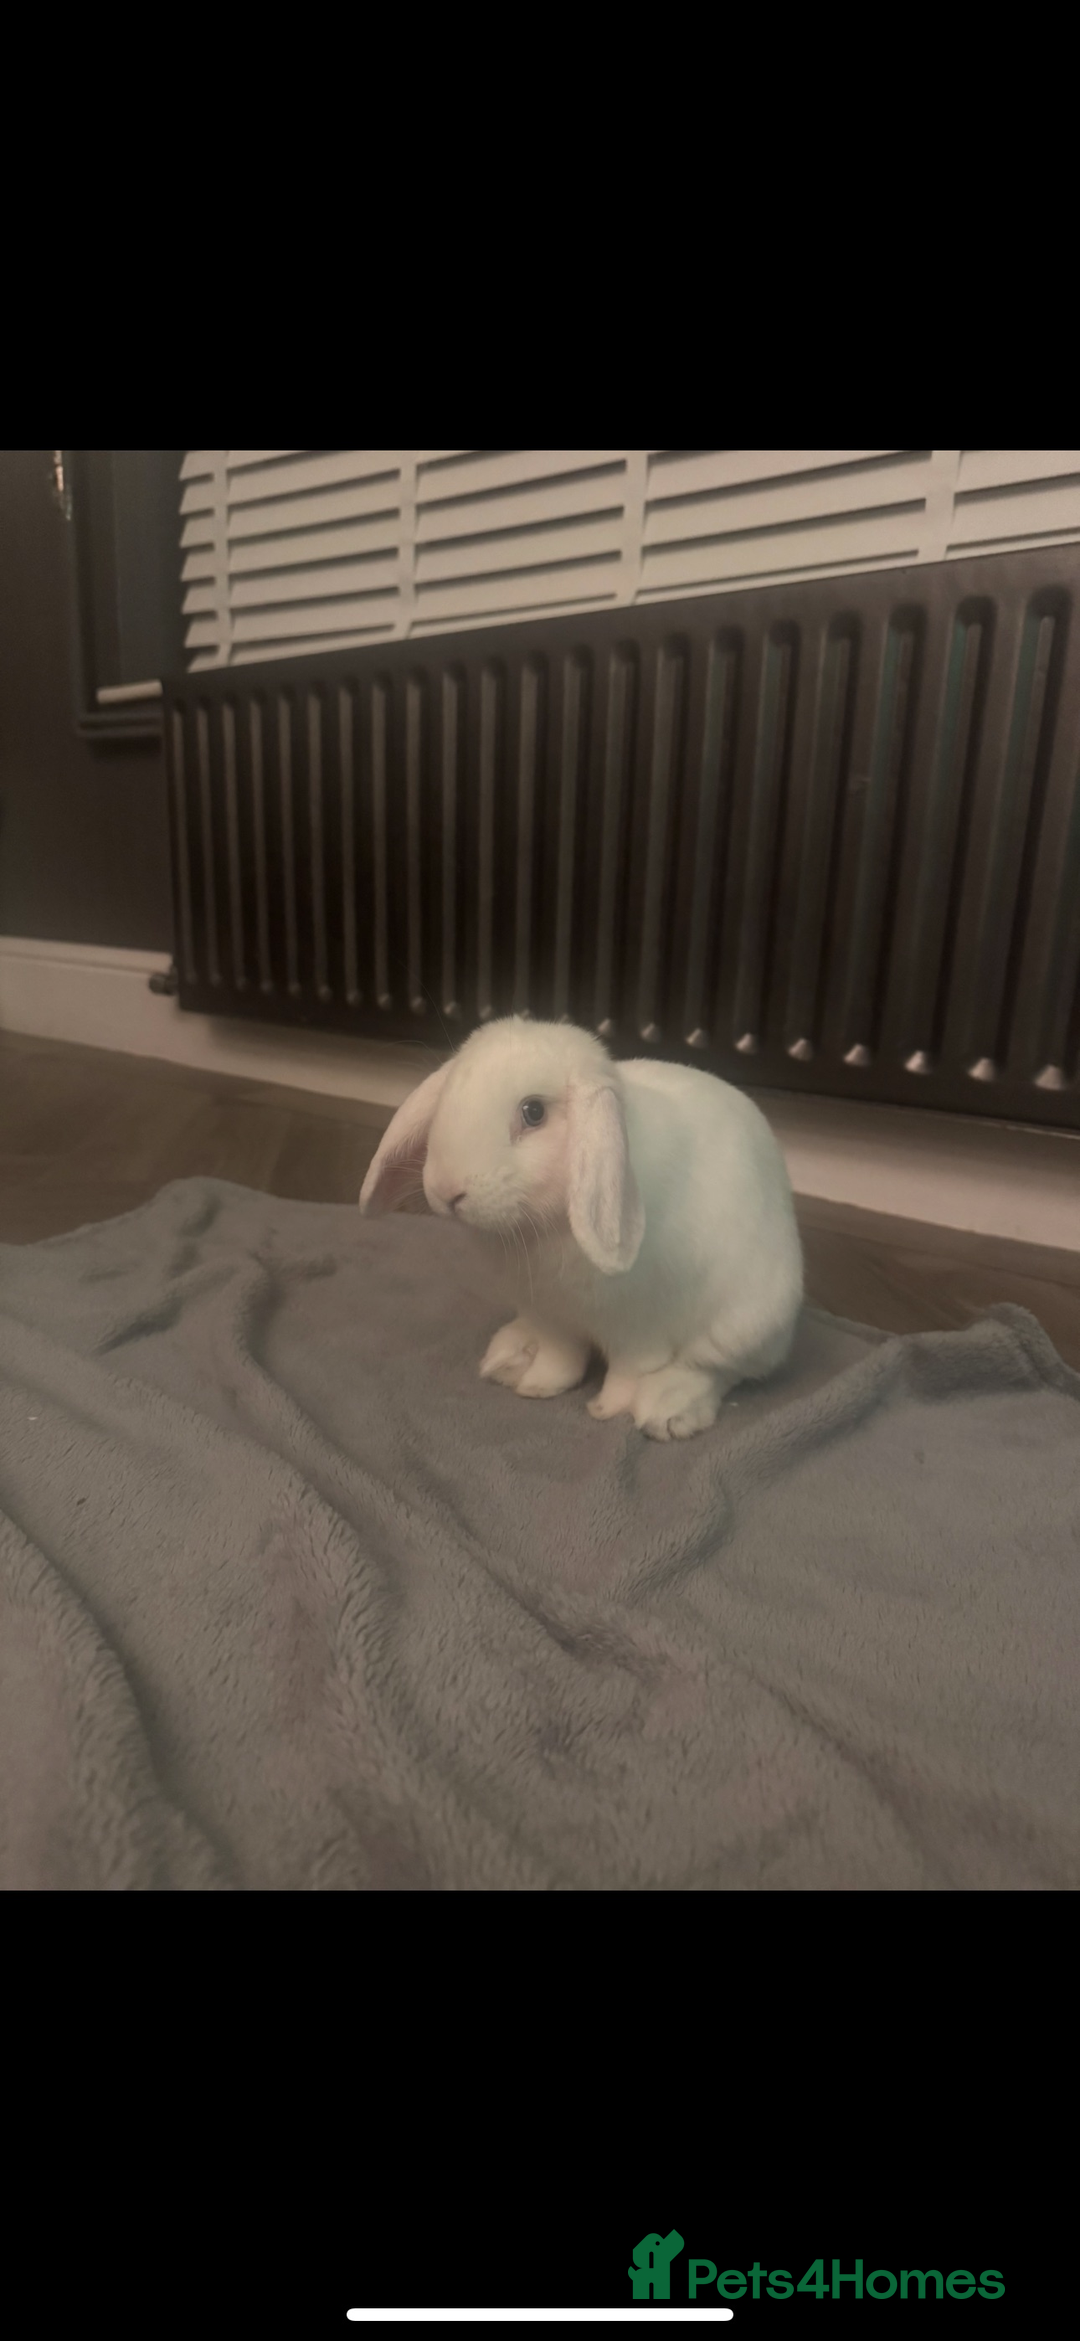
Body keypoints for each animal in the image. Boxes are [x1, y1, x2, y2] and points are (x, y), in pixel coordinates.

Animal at [359, 1015, 803, 1441]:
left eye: (533, 1112)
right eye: (449, 1095)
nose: (447, 1191)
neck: (544, 1227)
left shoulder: (640, 1332)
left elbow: (629, 1373)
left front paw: (606, 1409)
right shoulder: (552, 1317)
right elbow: (561, 1359)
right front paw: (538, 1386)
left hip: (743, 1323)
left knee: (717, 1370)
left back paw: (668, 1410)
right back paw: (511, 1357)